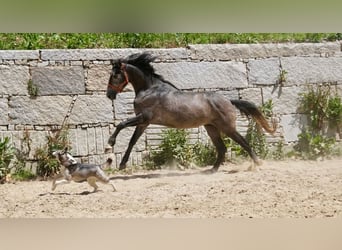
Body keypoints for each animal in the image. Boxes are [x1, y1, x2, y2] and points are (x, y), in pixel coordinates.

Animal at [104, 51, 276, 172]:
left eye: (115, 75)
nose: (109, 95)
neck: (150, 90)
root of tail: (228, 100)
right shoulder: (143, 123)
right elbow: (132, 141)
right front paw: (122, 164)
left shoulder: (144, 117)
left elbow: (121, 124)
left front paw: (109, 145)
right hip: (211, 128)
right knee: (222, 148)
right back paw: (212, 170)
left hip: (227, 127)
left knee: (243, 142)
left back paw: (258, 163)